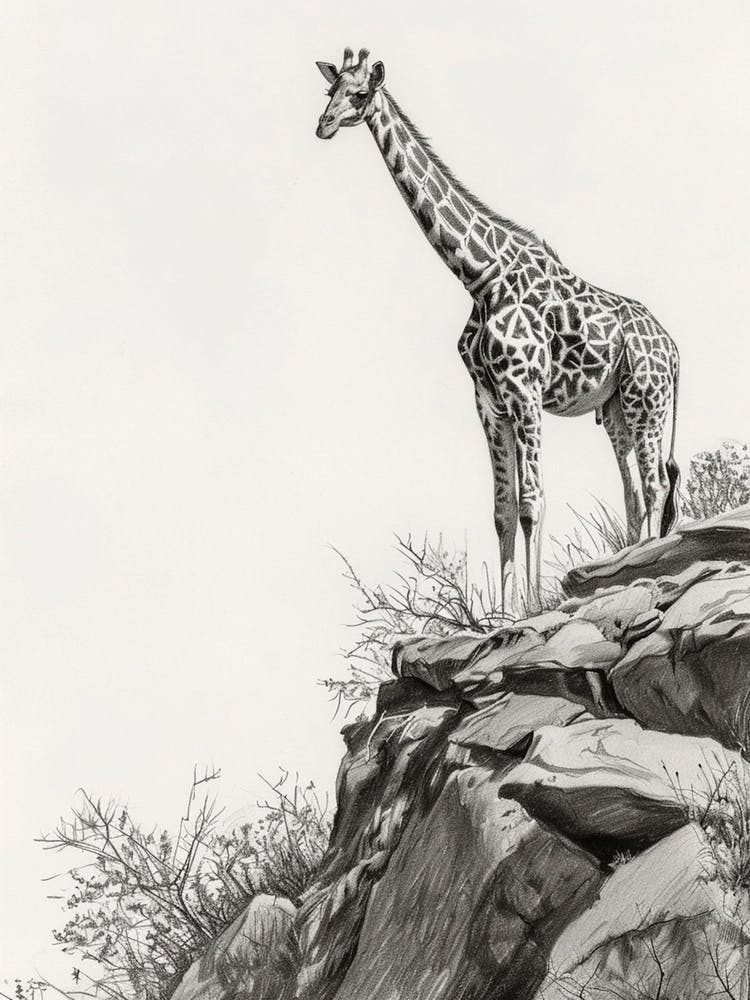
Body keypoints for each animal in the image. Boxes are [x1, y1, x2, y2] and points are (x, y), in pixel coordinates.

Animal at [316, 48, 680, 610]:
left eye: (359, 94)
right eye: (328, 92)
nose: (323, 125)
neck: (479, 274)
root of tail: (676, 351)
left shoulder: (524, 391)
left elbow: (532, 500)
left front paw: (530, 605)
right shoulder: (488, 399)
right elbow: (502, 509)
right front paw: (503, 616)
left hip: (648, 399)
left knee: (656, 481)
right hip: (616, 408)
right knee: (635, 491)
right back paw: (627, 562)